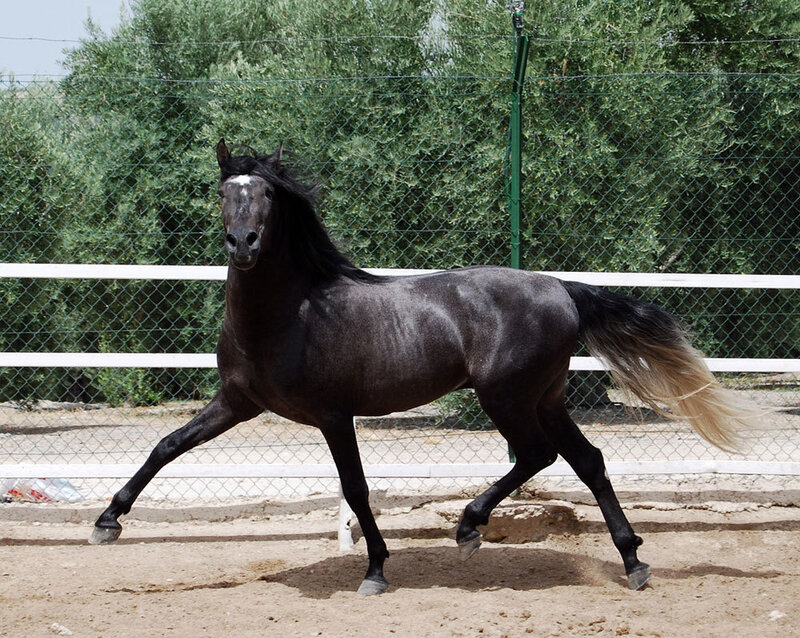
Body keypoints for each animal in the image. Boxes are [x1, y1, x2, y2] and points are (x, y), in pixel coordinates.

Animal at [90, 139, 754, 595]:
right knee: (587, 461)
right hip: (545, 398)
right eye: (225, 191)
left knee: (536, 455)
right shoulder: (237, 402)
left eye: (270, 195)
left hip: (506, 396)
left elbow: (355, 488)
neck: (292, 314)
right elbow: (166, 446)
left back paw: (469, 529)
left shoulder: (333, 415)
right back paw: (634, 561)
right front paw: (107, 522)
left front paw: (376, 571)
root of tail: (561, 289)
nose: (244, 244)